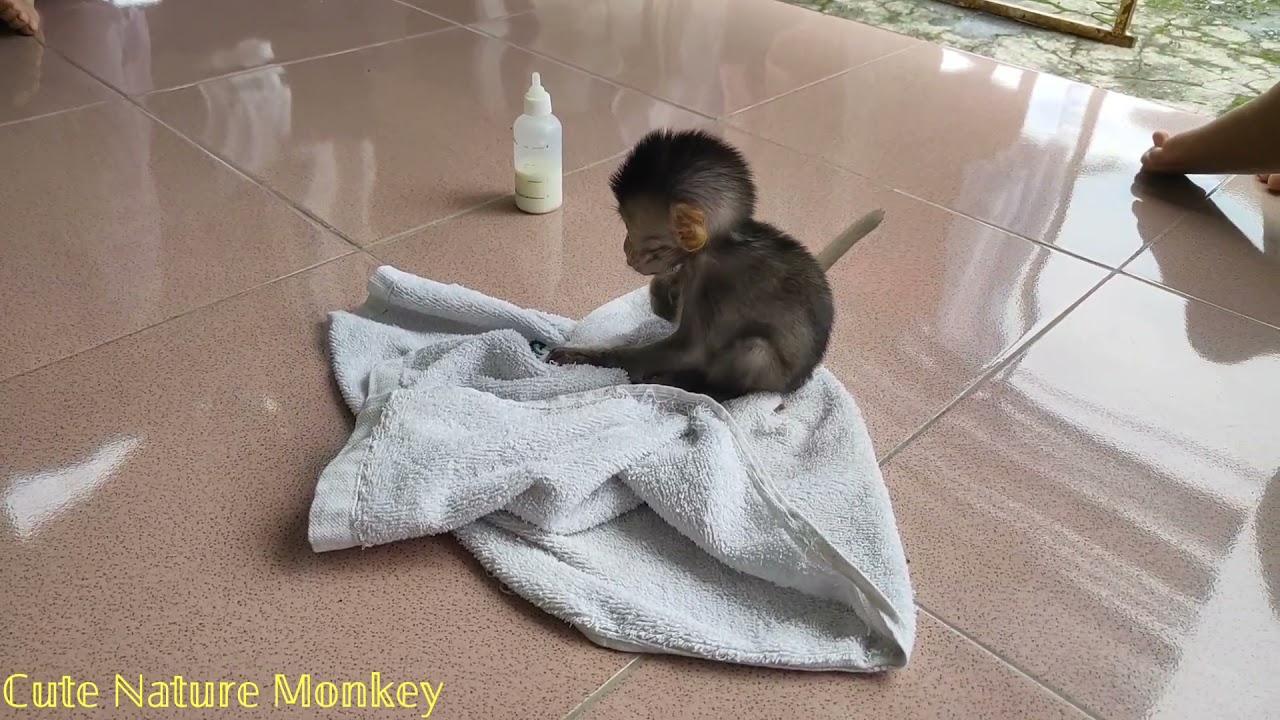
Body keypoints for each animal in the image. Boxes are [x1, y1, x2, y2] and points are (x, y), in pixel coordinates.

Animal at [546, 129, 883, 402]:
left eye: (634, 231)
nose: (627, 251)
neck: (721, 244)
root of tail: (798, 381)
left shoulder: (709, 287)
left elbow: (690, 349)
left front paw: (586, 356)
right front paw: (665, 291)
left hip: (769, 371)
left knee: (752, 351)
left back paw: (703, 388)